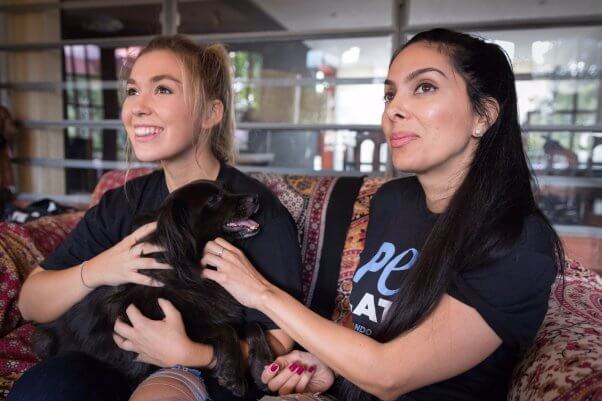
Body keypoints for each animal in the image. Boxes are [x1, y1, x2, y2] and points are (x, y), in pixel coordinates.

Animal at [34, 180, 274, 396]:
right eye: (215, 199)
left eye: (226, 189)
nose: (257, 197)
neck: (188, 268)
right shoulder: (176, 326)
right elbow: (225, 329)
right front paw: (233, 372)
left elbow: (254, 325)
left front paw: (262, 364)